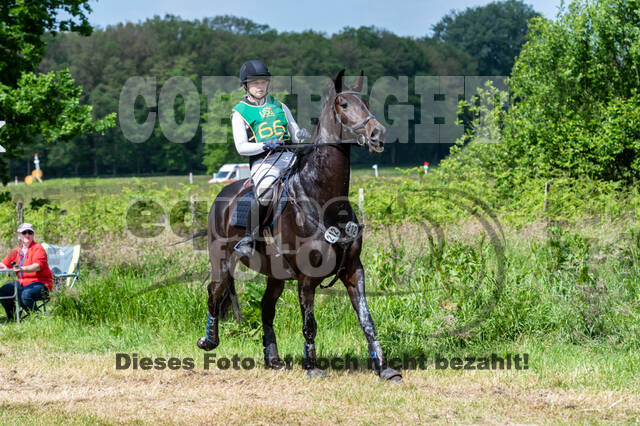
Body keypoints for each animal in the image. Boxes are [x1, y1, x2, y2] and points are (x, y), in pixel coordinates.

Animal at [198, 69, 402, 382]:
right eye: (344, 104)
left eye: (366, 102)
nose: (377, 134)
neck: (322, 198)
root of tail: (223, 195)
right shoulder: (306, 278)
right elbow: (309, 323)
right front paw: (313, 367)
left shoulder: (354, 270)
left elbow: (367, 319)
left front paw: (383, 368)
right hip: (221, 261)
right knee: (214, 293)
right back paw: (208, 341)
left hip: (275, 275)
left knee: (266, 308)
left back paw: (273, 359)